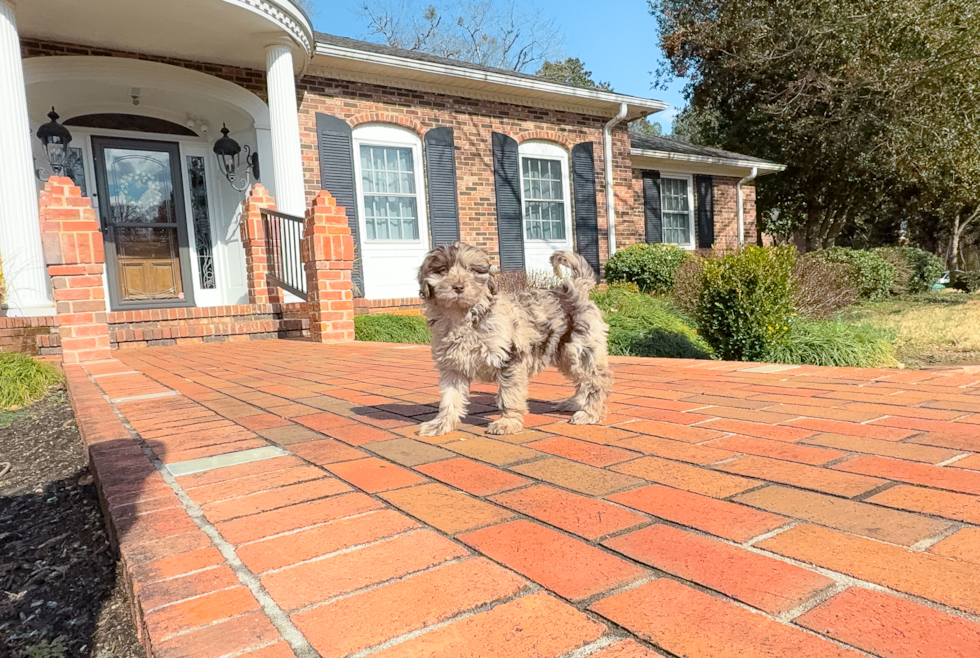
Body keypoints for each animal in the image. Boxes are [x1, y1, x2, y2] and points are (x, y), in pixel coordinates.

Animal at [414, 241, 612, 436]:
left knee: (597, 381)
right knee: (582, 380)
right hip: (565, 354)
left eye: (472, 269)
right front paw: (440, 425)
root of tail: (574, 288)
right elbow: (450, 399)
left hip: (580, 349)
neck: (461, 316)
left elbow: (508, 396)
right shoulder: (452, 367)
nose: (458, 287)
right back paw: (575, 403)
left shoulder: (510, 359)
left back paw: (589, 413)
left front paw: (507, 423)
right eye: (442, 270)